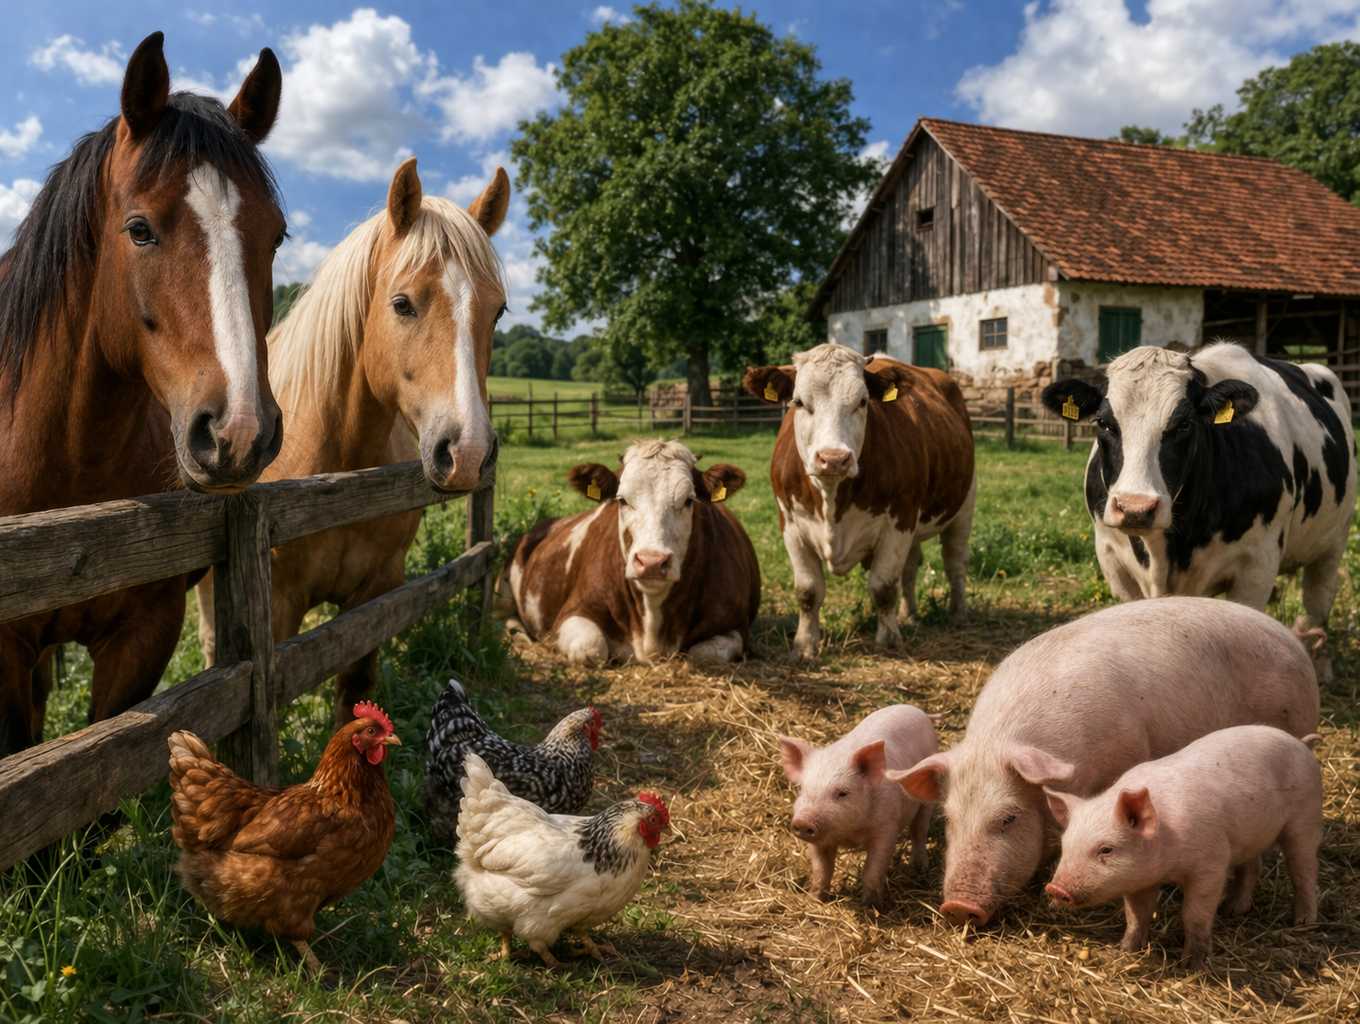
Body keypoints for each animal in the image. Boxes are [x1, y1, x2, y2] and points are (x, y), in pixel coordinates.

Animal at [198, 156, 508, 723]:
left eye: (498, 311)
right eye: (402, 304)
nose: (469, 452)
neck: (337, 474)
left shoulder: (375, 596)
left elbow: (355, 692)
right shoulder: (277, 611)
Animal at [497, 440, 761, 665]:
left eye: (688, 500)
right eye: (622, 500)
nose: (652, 562)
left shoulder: (735, 626)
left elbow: (703, 655)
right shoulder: (571, 614)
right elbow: (591, 649)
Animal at [744, 344, 976, 660]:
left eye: (862, 401)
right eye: (799, 402)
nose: (833, 459)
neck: (832, 498)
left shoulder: (899, 521)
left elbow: (884, 587)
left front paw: (888, 640)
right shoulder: (790, 524)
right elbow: (807, 591)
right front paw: (804, 645)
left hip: (963, 507)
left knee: (955, 562)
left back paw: (958, 614)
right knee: (910, 567)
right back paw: (909, 615)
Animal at [1040, 342, 1356, 678]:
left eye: (1184, 424)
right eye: (1104, 423)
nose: (1135, 507)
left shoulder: (1257, 566)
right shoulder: (1112, 559)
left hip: (1334, 542)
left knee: (1318, 601)